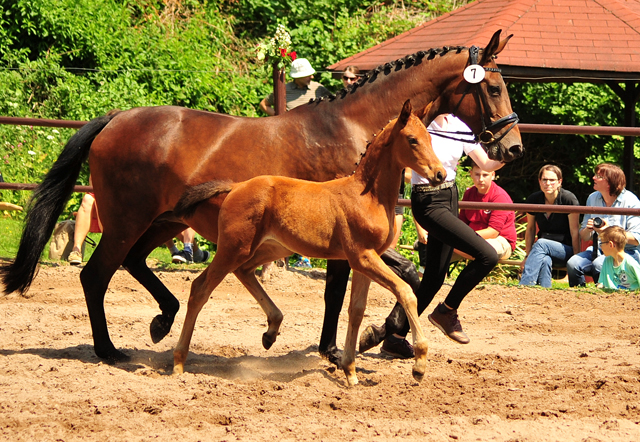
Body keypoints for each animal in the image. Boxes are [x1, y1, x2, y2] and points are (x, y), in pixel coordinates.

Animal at [170, 101, 444, 386]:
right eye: (412, 140)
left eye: (430, 138)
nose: (440, 173)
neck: (368, 196)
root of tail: (236, 186)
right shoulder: (362, 256)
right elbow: (405, 291)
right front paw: (420, 363)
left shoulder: (364, 262)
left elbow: (356, 310)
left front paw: (350, 371)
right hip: (234, 247)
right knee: (200, 288)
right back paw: (179, 361)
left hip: (269, 248)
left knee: (243, 272)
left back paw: (271, 330)